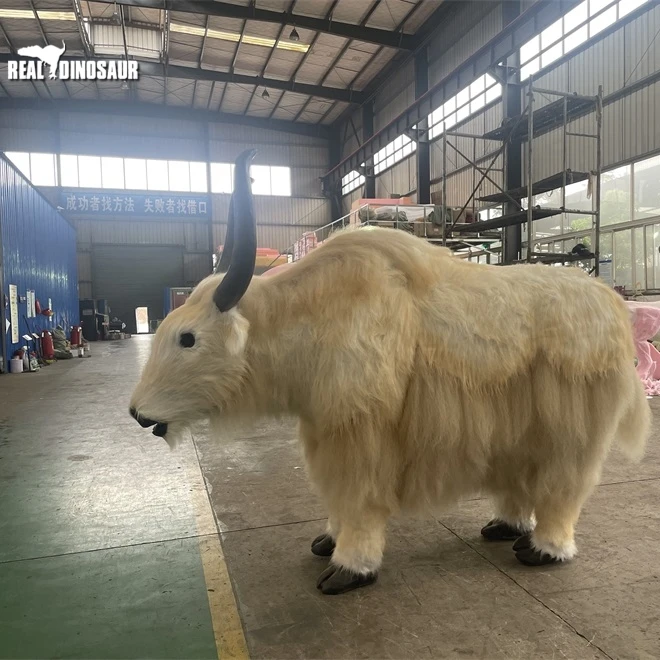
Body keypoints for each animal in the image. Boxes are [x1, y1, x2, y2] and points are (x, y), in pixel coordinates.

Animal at [130, 149, 650, 595]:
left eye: (188, 338)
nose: (138, 414)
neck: (308, 317)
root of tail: (611, 305)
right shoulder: (325, 426)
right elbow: (335, 496)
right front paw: (329, 540)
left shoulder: (360, 429)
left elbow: (356, 495)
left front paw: (350, 566)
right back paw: (504, 526)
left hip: (571, 433)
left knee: (564, 485)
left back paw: (542, 549)